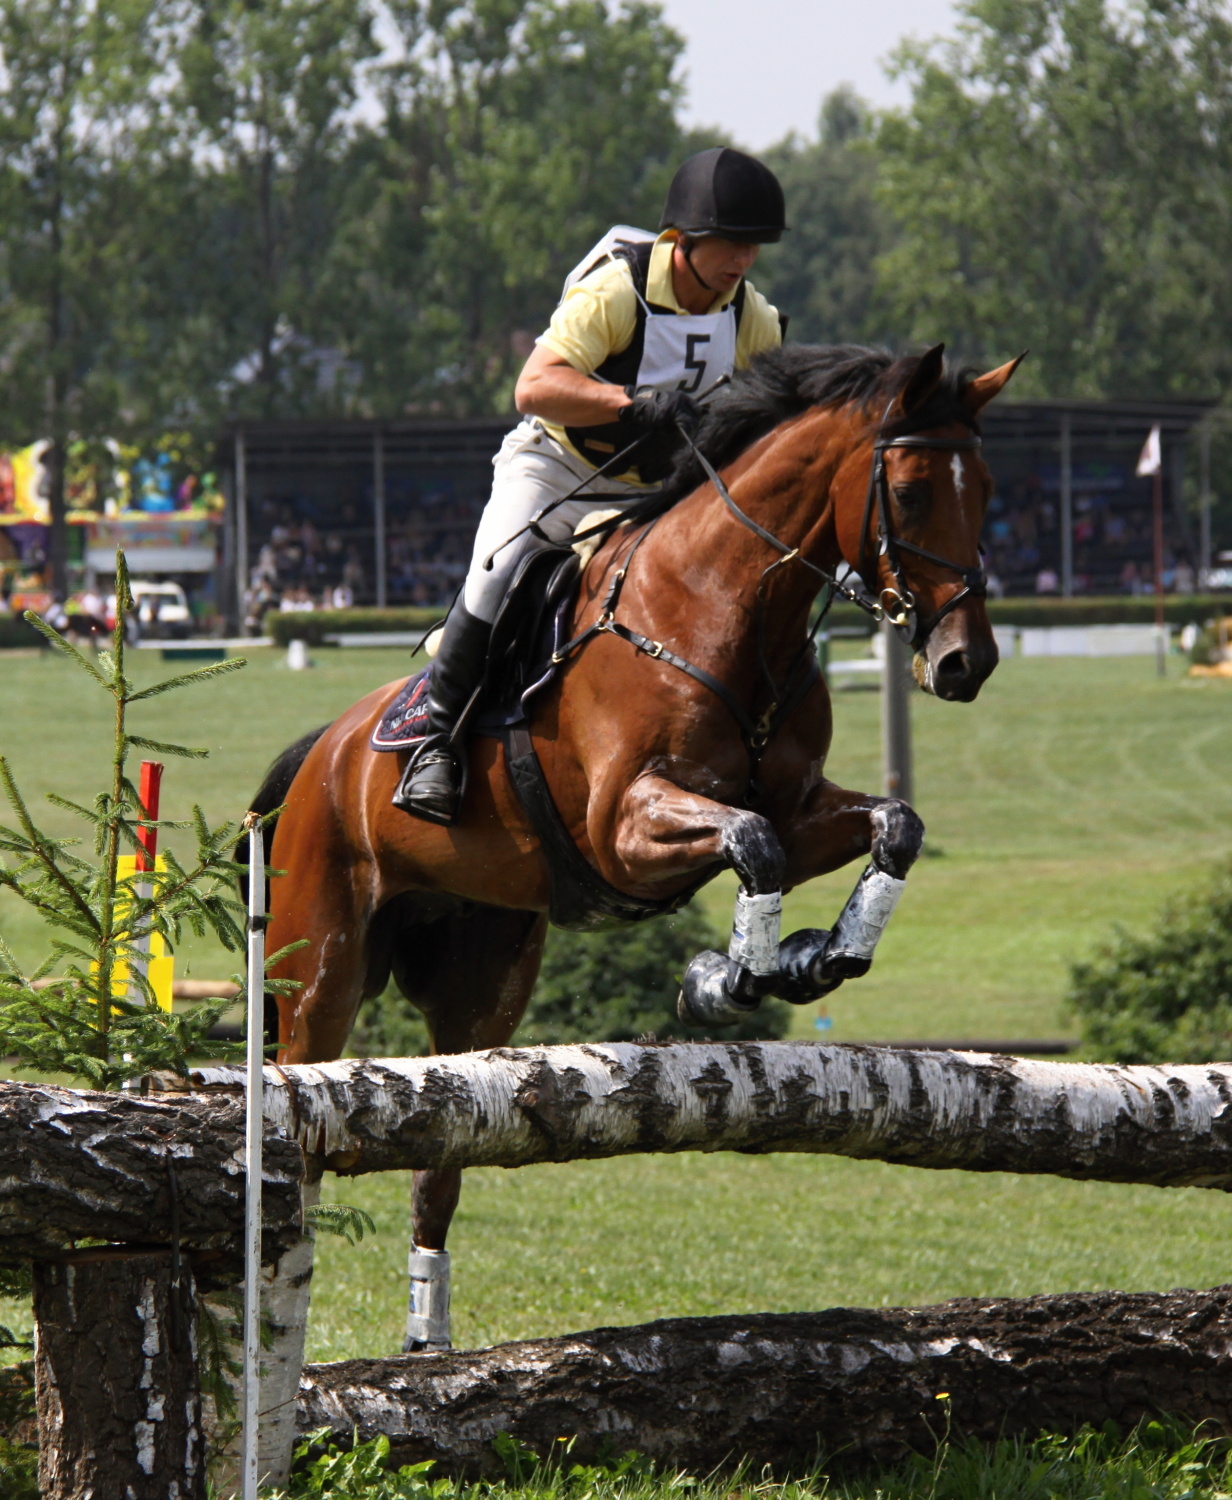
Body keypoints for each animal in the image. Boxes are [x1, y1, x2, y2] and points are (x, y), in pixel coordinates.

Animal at [252, 343, 1020, 1338]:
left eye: (989, 488)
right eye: (916, 490)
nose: (967, 662)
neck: (727, 608)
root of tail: (325, 751)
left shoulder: (802, 805)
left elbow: (888, 824)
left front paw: (818, 956)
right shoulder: (624, 828)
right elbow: (755, 844)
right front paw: (735, 978)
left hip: (481, 986)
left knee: (439, 1164)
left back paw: (428, 1335)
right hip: (323, 966)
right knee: (301, 1107)